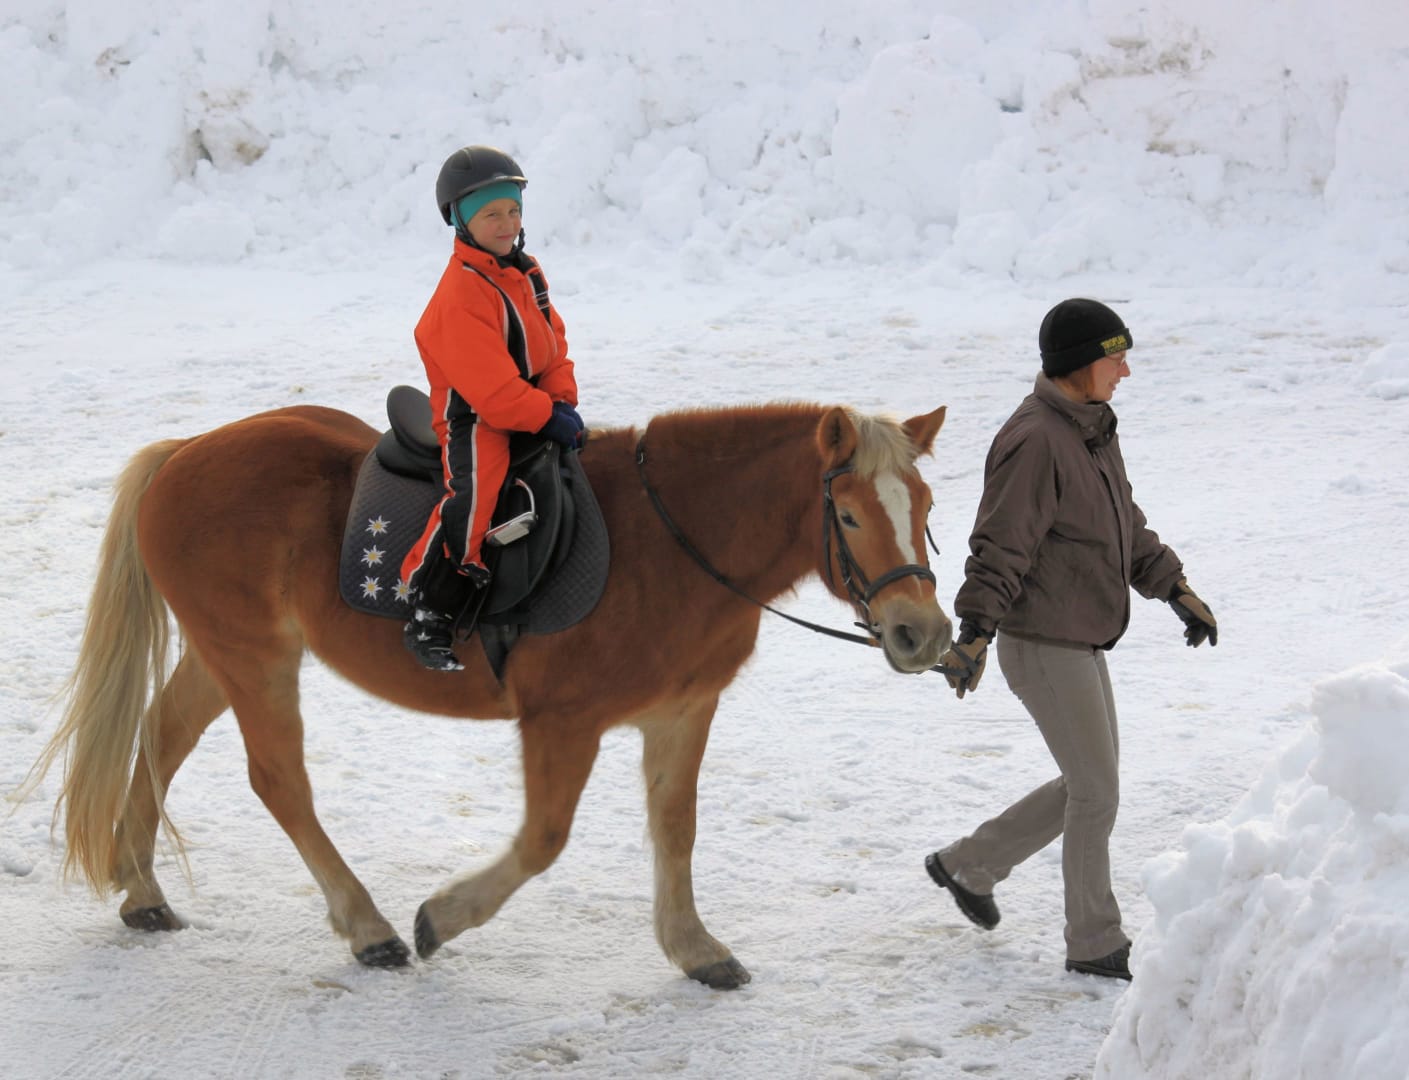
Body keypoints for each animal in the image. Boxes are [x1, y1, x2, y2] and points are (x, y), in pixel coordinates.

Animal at [29, 399, 951, 989]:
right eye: (850, 514)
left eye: (925, 504)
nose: (922, 632)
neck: (668, 545)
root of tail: (186, 451)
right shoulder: (562, 723)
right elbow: (542, 841)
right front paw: (441, 917)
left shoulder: (682, 713)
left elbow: (675, 828)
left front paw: (693, 947)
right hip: (252, 656)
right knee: (277, 780)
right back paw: (368, 929)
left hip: (229, 652)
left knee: (162, 736)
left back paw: (143, 891)